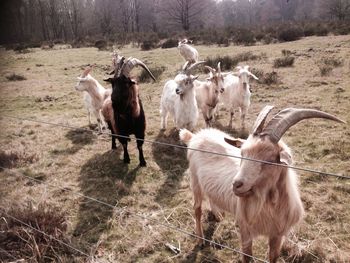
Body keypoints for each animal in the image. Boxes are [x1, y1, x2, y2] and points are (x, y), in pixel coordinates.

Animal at [180, 105, 344, 263]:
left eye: (269, 159)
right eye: (242, 154)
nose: (236, 185)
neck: (270, 204)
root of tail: (196, 136)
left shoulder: (277, 234)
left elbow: (273, 257)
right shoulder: (245, 229)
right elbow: (247, 257)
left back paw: (218, 215)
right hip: (195, 181)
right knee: (197, 209)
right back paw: (201, 240)